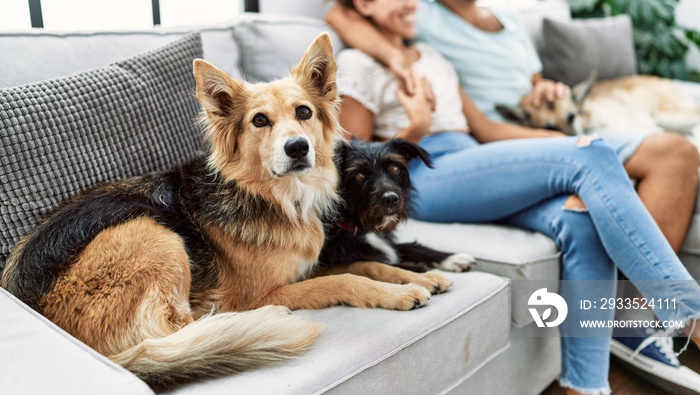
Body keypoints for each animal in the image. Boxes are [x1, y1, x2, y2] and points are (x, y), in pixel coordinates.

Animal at [318, 139, 476, 294]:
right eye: (359, 174)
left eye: (394, 168)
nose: (391, 199)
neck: (361, 229)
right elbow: (379, 265)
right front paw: (422, 272)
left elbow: (411, 246)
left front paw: (452, 258)